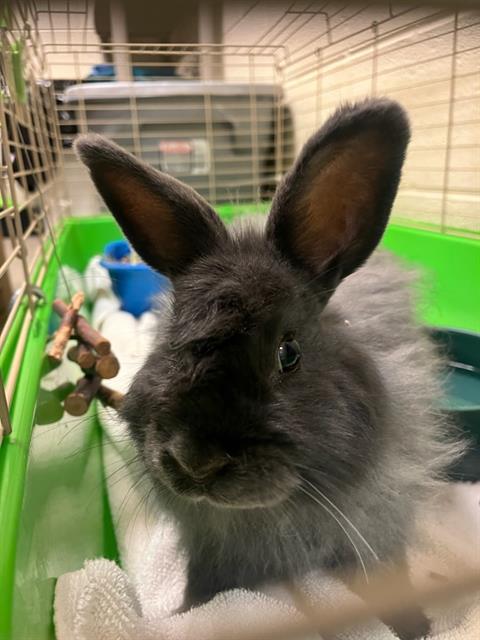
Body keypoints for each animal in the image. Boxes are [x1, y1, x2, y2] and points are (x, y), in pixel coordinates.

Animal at [74, 97, 462, 636]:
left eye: (288, 353)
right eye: (171, 337)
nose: (196, 460)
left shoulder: (377, 530)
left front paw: (416, 628)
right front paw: (183, 615)